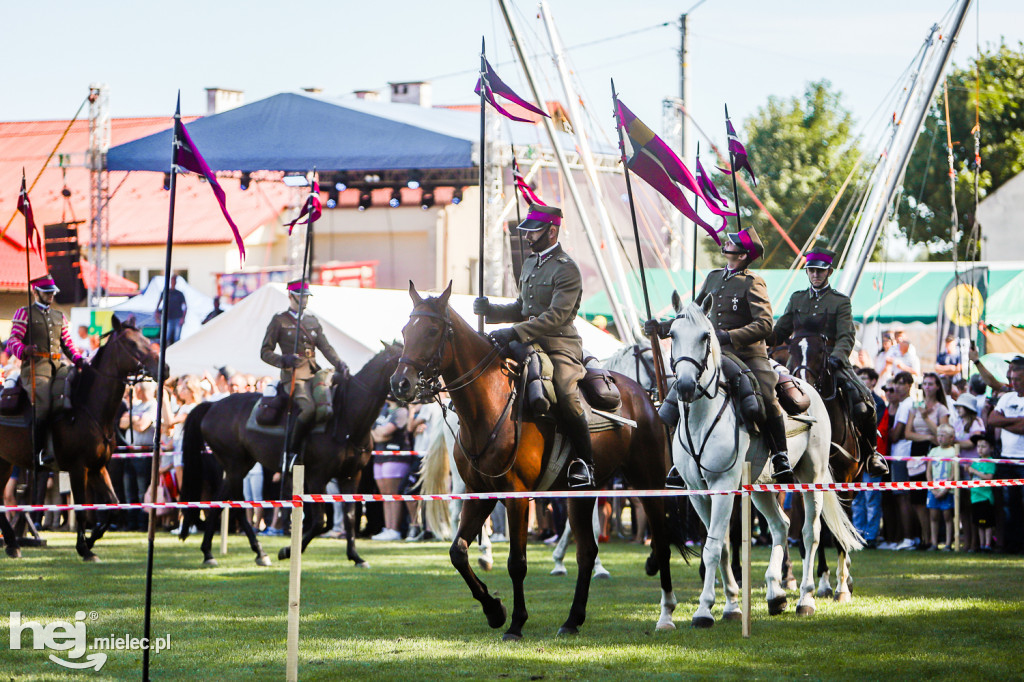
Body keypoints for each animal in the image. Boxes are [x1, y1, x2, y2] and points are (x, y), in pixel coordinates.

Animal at [0, 315, 161, 561]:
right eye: (132, 343)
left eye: (147, 340)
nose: (165, 368)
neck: (88, 407)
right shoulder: (79, 469)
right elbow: (83, 510)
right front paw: (84, 548)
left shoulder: (97, 468)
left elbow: (113, 506)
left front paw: (91, 541)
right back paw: (11, 543)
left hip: (6, 462)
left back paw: (11, 544)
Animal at [178, 342, 401, 565]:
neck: (346, 420)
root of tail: (212, 405)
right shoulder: (316, 477)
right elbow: (319, 521)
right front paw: (287, 551)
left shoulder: (351, 476)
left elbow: (350, 518)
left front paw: (355, 556)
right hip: (235, 465)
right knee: (232, 503)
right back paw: (241, 552)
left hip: (241, 466)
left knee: (224, 501)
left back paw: (225, 552)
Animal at [387, 280, 692, 638]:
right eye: (406, 330)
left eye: (433, 330)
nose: (400, 383)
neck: (489, 403)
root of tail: (644, 398)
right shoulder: (480, 493)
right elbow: (457, 552)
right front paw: (494, 609)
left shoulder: (516, 496)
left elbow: (517, 563)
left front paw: (516, 622)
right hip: (583, 492)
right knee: (588, 551)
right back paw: (573, 619)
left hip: (648, 482)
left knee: (661, 541)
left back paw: (666, 612)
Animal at [786, 329, 860, 602]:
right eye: (791, 350)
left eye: (821, 351)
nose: (801, 383)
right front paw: (823, 581)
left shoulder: (843, 481)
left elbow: (837, 533)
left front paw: (841, 587)